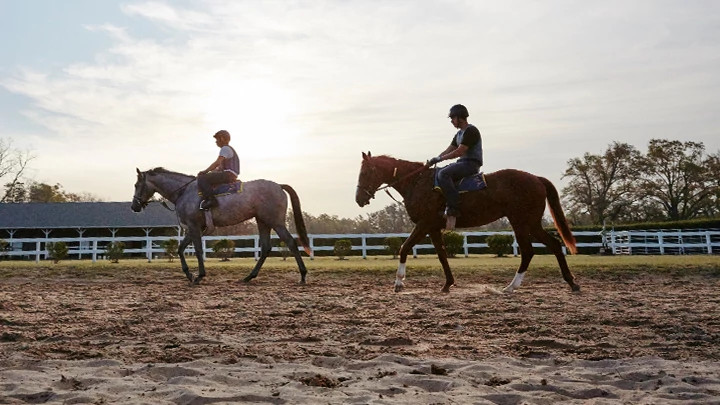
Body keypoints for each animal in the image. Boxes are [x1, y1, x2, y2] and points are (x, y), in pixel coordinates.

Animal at [131, 168, 311, 285]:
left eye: (136, 185)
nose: (134, 206)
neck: (184, 192)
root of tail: (279, 185)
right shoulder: (193, 228)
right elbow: (180, 249)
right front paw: (189, 274)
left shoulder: (194, 227)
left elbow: (197, 250)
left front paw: (199, 275)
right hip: (263, 222)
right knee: (266, 247)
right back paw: (249, 277)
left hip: (275, 222)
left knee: (290, 242)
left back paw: (303, 275)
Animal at [355, 152, 580, 294]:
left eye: (364, 172)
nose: (358, 199)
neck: (417, 182)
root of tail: (536, 178)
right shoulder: (433, 228)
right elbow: (442, 255)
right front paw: (448, 284)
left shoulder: (423, 224)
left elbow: (404, 248)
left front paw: (399, 282)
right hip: (531, 224)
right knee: (554, 245)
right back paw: (571, 282)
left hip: (522, 223)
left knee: (528, 251)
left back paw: (511, 286)